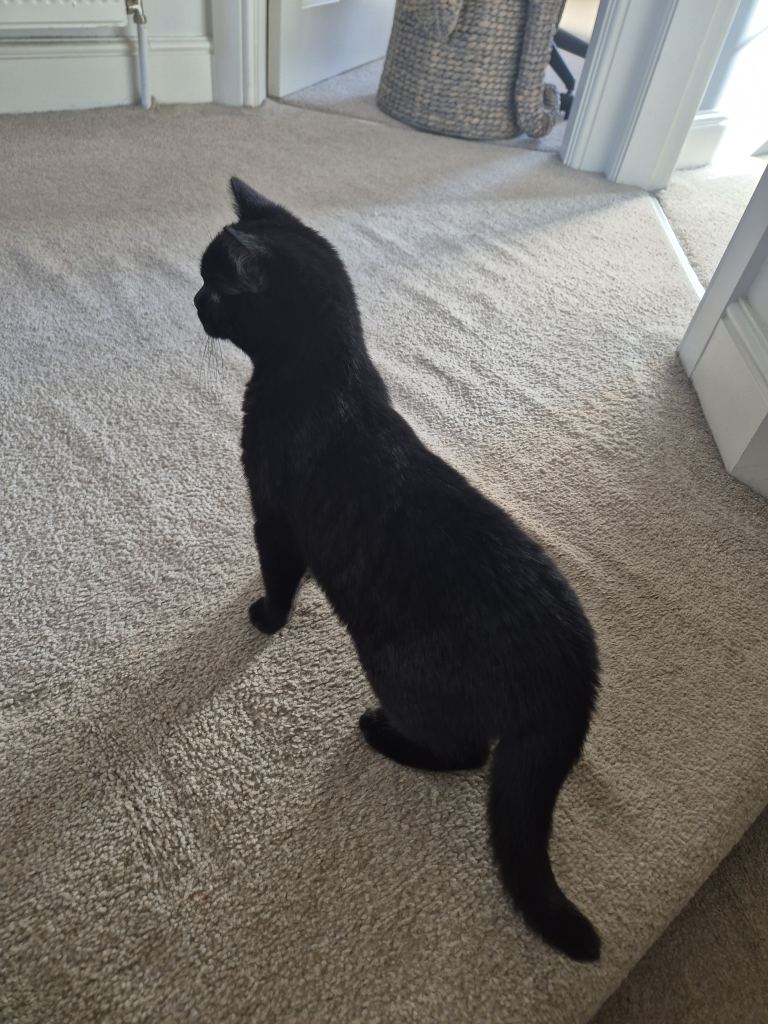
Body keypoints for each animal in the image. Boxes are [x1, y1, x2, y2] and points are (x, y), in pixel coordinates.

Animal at [194, 177, 601, 962]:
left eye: (214, 285)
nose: (192, 299)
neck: (325, 380)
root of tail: (574, 669)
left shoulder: (274, 513)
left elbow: (279, 574)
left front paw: (265, 618)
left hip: (395, 669)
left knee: (466, 754)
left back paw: (380, 733)